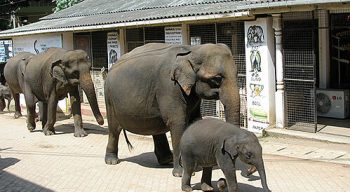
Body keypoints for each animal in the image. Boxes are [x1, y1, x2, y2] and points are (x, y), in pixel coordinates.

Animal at [104, 42, 241, 176]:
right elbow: (178, 123)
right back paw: (112, 161)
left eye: (237, 74)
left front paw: (195, 168)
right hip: (109, 99)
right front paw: (181, 173)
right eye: (216, 79)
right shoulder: (169, 87)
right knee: (114, 129)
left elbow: (195, 120)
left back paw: (166, 160)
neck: (191, 50)